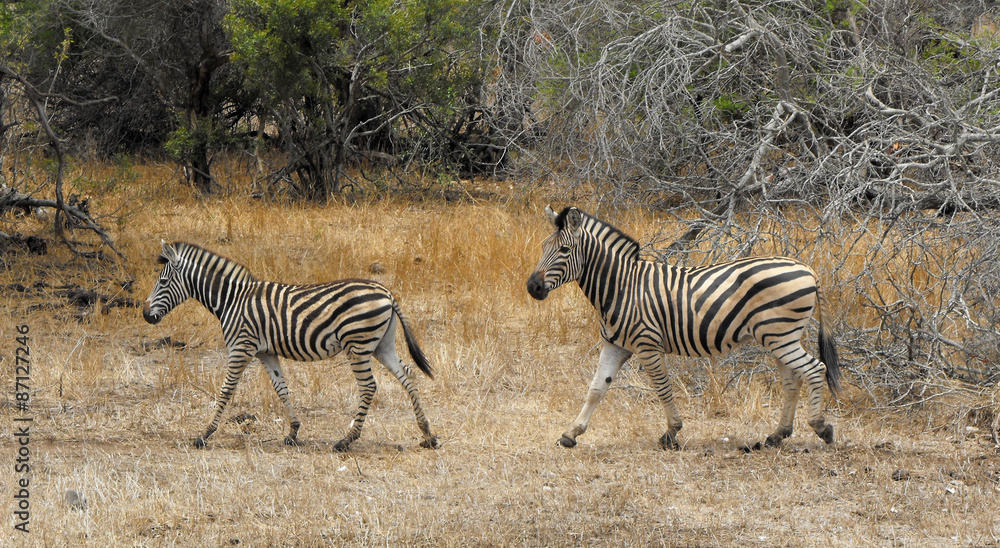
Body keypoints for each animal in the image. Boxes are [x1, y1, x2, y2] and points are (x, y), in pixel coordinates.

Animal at [142, 241, 438, 451]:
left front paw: (204, 435)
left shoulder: (241, 347)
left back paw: (347, 440)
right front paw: (293, 431)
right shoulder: (266, 353)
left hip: (358, 344)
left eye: (163, 282)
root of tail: (386, 292)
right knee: (407, 376)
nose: (146, 315)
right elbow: (281, 388)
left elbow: (226, 391)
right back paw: (428, 434)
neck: (231, 300)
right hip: (381, 345)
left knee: (368, 387)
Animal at [526, 205, 841, 450]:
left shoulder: (647, 345)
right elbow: (596, 389)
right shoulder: (614, 345)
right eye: (542, 247)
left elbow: (663, 388)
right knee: (793, 380)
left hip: (779, 335)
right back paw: (777, 435)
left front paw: (671, 433)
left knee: (815, 369)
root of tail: (808, 269)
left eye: (564, 249)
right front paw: (571, 433)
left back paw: (821, 427)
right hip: (779, 337)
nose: (532, 287)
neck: (621, 287)